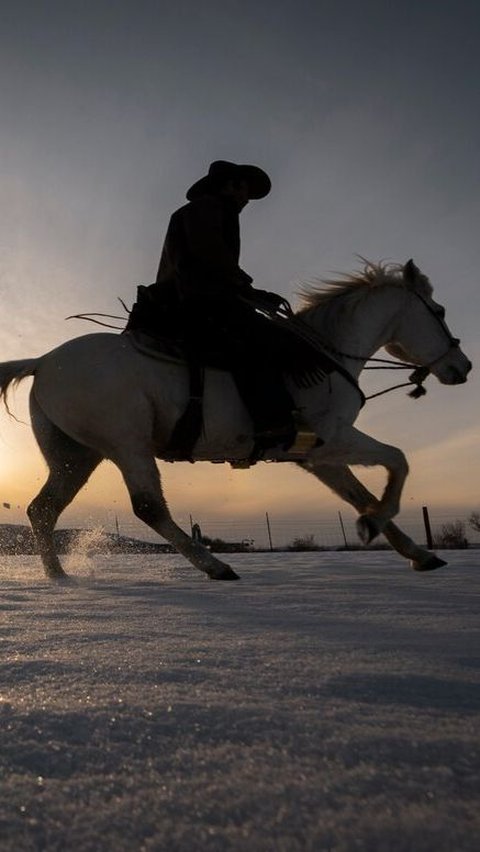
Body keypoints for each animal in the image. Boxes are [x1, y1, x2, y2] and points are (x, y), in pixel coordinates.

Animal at [0, 256, 472, 584]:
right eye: (440, 311)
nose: (463, 367)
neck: (323, 356)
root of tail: (43, 361)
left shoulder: (317, 455)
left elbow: (361, 494)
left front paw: (416, 552)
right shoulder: (335, 437)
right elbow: (397, 461)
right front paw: (373, 525)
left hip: (76, 456)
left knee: (43, 509)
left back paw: (59, 576)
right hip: (125, 446)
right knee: (149, 507)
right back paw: (214, 565)